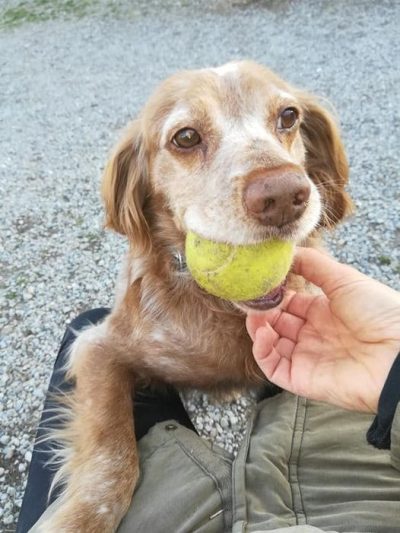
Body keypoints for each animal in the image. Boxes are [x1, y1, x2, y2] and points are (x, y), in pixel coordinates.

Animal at [42, 60, 352, 528]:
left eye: (289, 117)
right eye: (185, 137)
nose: (283, 194)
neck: (222, 310)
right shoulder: (98, 345)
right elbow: (111, 453)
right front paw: (81, 518)